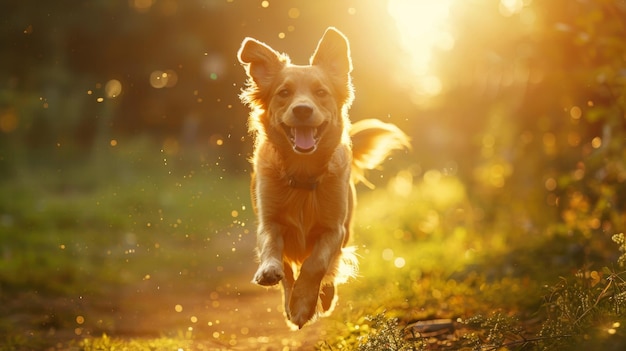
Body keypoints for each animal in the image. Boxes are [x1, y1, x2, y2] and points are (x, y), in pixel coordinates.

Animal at [236, 27, 408, 330]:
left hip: (347, 228)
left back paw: (325, 298)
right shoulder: (269, 222)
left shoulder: (333, 229)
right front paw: (278, 282)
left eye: (320, 92)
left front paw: (304, 305)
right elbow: (277, 256)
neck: (303, 175)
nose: (302, 109)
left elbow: (317, 263)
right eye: (284, 93)